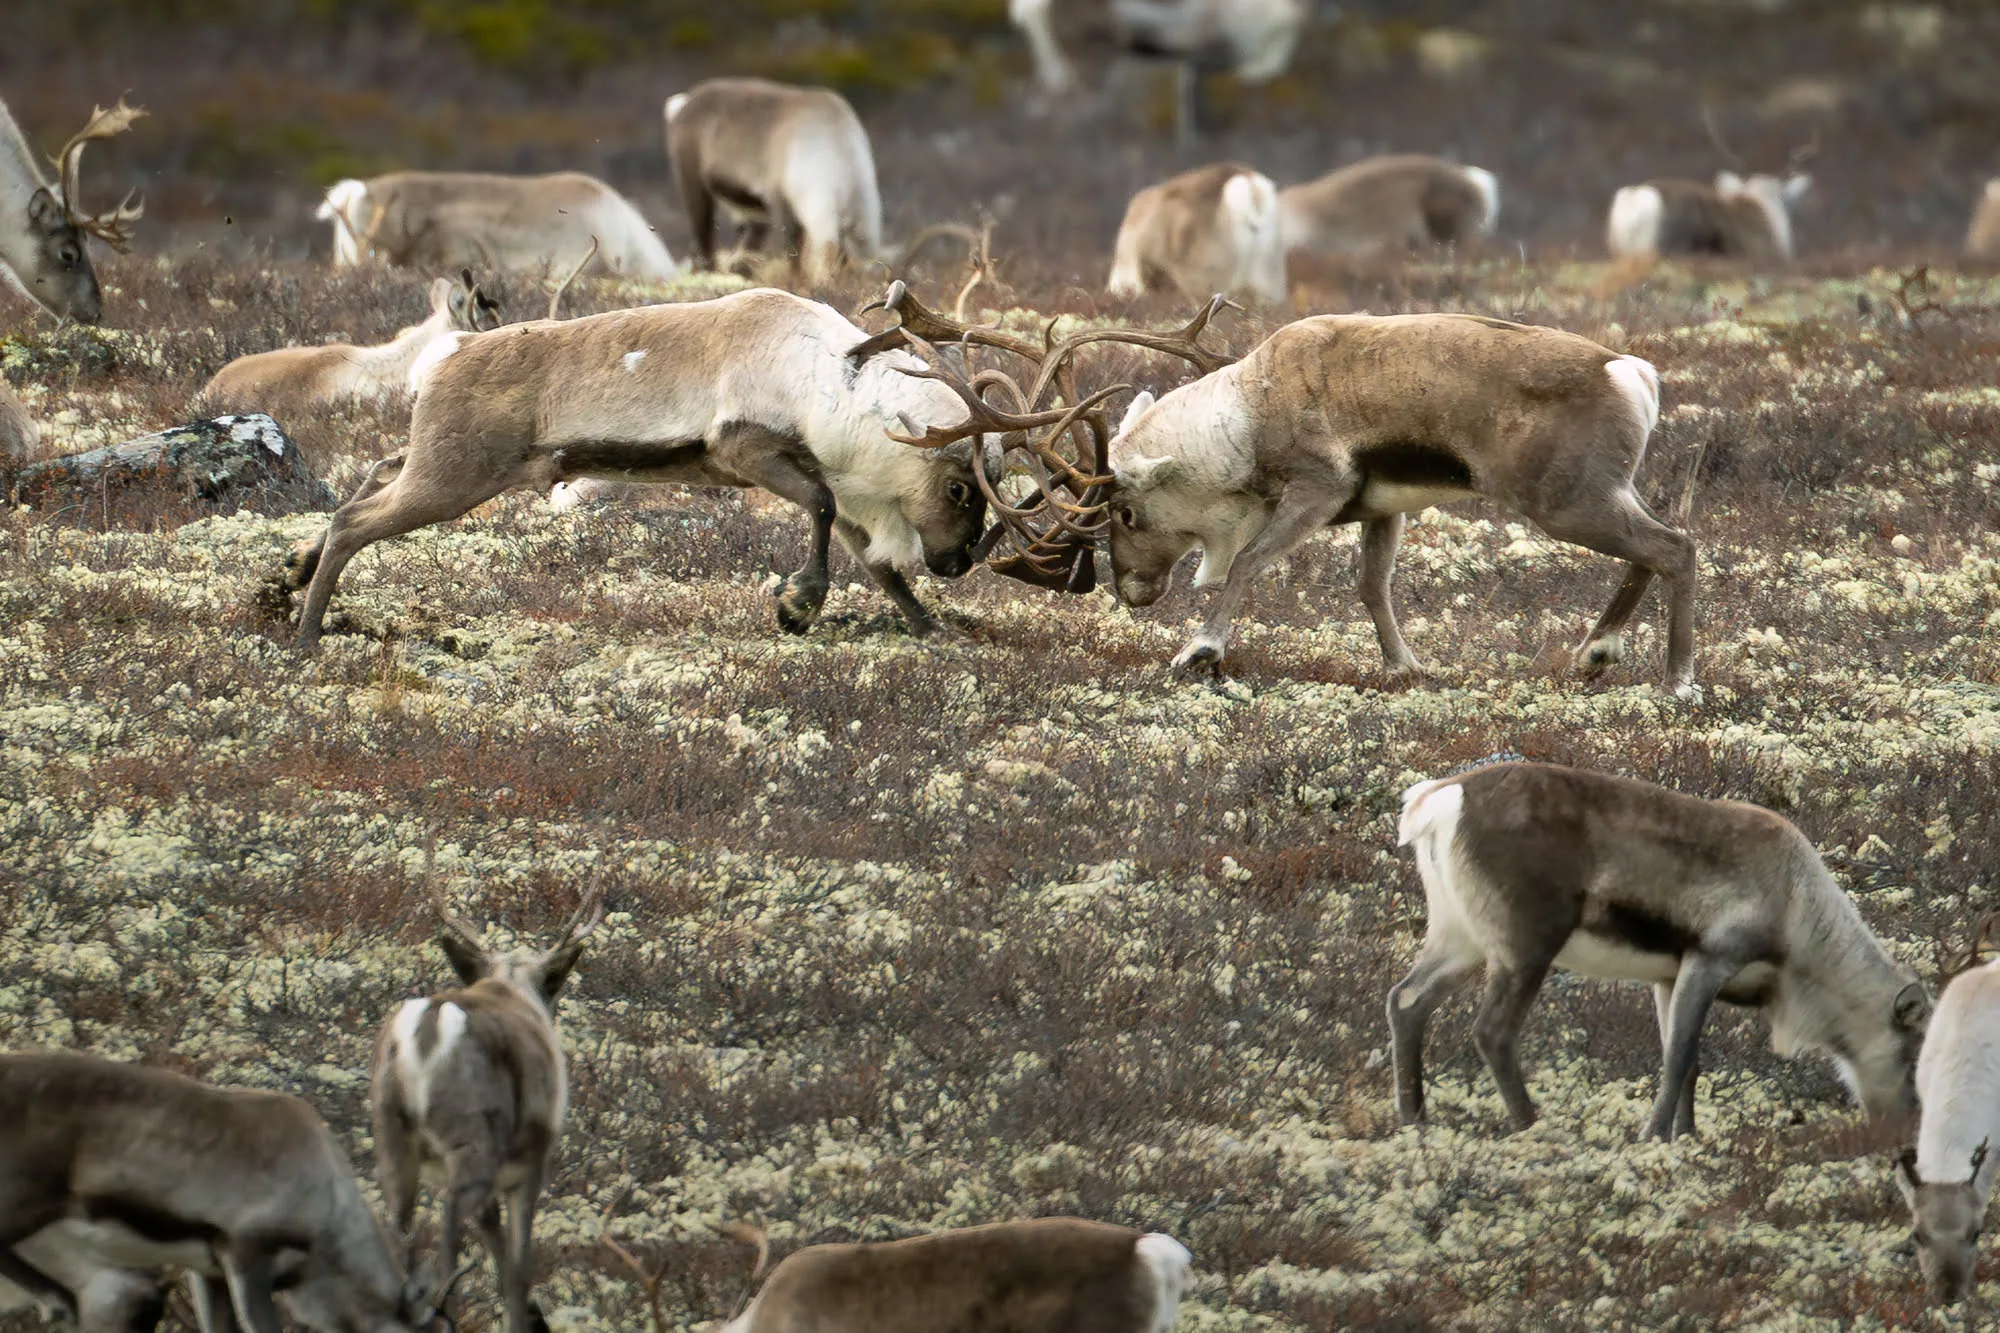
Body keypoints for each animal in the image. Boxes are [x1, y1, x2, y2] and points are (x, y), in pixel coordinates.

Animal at [283, 287, 992, 649]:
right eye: (960, 487)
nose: (957, 563)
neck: (836, 386)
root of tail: (444, 354)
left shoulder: (831, 481)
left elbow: (875, 563)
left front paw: (933, 629)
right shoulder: (748, 450)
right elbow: (820, 507)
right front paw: (796, 606)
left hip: (439, 459)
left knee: (376, 470)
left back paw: (292, 568)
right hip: (454, 476)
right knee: (354, 521)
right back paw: (308, 634)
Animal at [372, 879, 604, 1333]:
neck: (510, 985)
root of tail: (429, 1025)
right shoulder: (531, 1164)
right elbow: (517, 1269)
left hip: (393, 1139)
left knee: (397, 1238)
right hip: (472, 1143)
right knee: (446, 1248)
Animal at [665, 78, 881, 286]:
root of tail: (683, 102)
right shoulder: (781, 198)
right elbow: (793, 251)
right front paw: (798, 283)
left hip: (753, 209)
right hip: (693, 184)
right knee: (703, 235)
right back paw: (709, 272)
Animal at [1389, 760, 1931, 1141]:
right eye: (1911, 1055)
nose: (1905, 1126)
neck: (1796, 916)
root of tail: (1438, 802)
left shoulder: (1667, 976)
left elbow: (1687, 1061)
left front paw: (1685, 1136)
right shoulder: (1709, 960)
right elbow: (1678, 1058)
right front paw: (1651, 1135)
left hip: (1458, 937)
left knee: (1405, 999)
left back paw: (1413, 1119)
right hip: (1525, 946)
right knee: (1493, 1031)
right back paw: (1532, 1126)